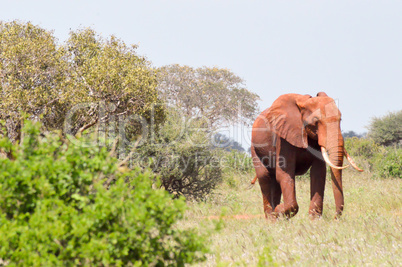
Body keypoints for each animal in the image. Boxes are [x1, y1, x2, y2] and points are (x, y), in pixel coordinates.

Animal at [250, 93, 362, 221]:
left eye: (340, 119)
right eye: (316, 121)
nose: (335, 218)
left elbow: (318, 173)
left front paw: (314, 220)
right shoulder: (283, 139)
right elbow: (285, 174)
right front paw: (279, 210)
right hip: (255, 147)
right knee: (265, 177)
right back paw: (272, 219)